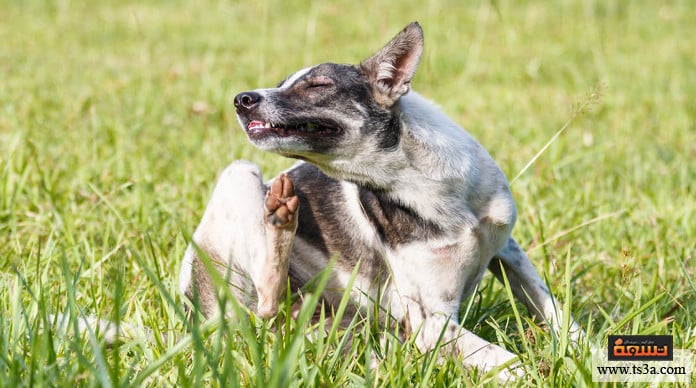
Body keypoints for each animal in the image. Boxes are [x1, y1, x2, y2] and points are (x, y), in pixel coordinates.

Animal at [179, 22, 580, 378]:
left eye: (318, 85)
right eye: (282, 85)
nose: (240, 99)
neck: (420, 180)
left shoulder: (508, 251)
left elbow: (558, 315)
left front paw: (580, 355)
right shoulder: (431, 321)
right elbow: (507, 361)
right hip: (239, 174)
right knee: (266, 301)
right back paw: (279, 216)